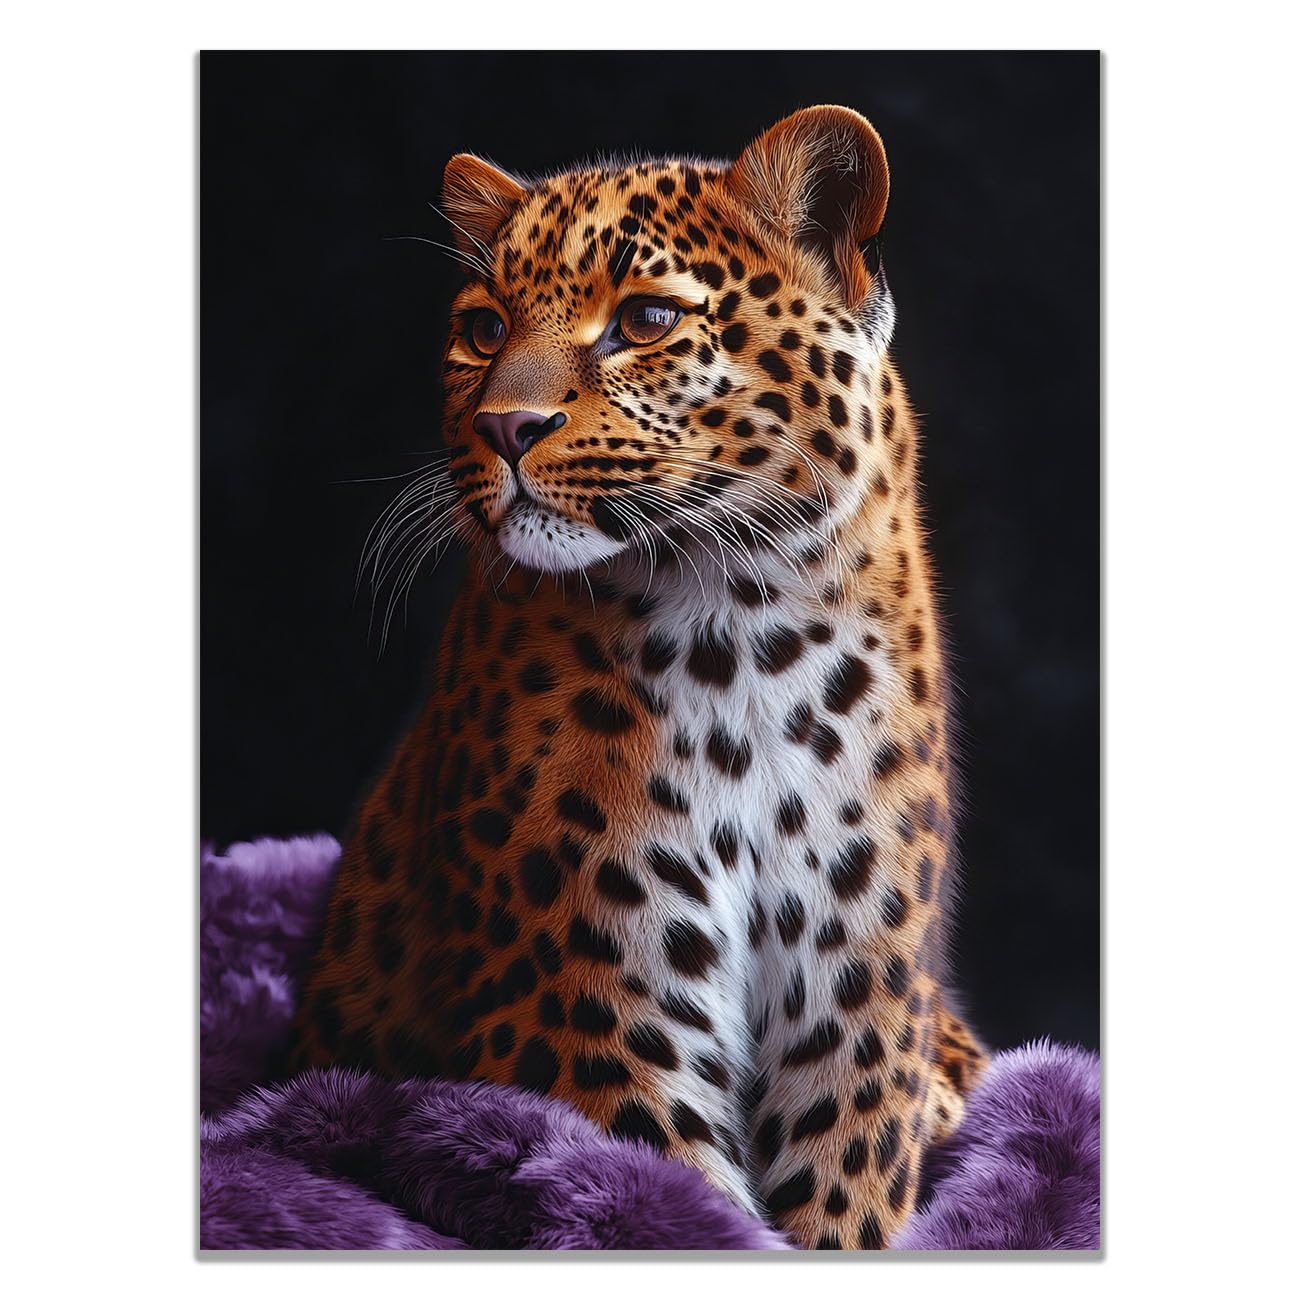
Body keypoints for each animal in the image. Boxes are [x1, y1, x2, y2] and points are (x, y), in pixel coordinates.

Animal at [290, 105, 988, 1250]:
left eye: (647, 318)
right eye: (485, 330)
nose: (504, 427)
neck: (743, 630)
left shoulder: (858, 1005)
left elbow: (843, 1202)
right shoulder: (593, 998)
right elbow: (672, 1203)